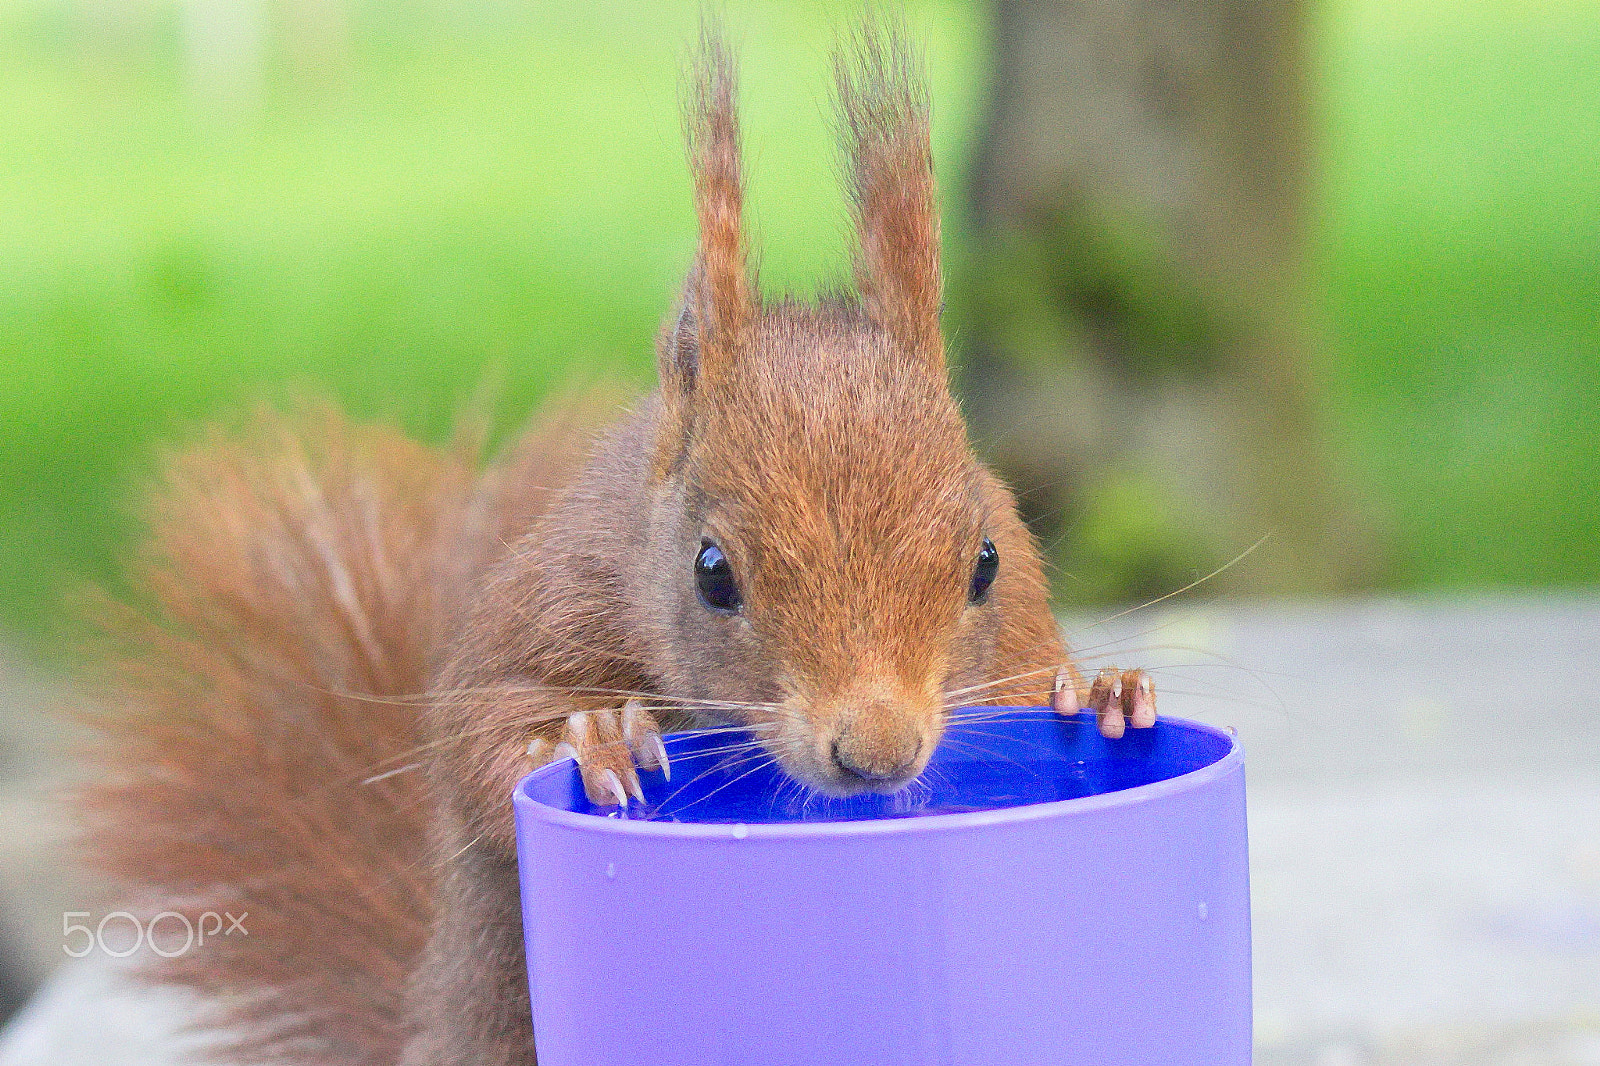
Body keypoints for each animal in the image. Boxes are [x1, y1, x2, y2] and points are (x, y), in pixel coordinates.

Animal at [81, 22, 1152, 1062]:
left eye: (985, 563)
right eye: (711, 574)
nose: (879, 754)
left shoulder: (1017, 619)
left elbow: (1031, 675)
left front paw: (1104, 693)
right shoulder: (553, 597)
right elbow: (480, 735)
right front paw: (593, 736)